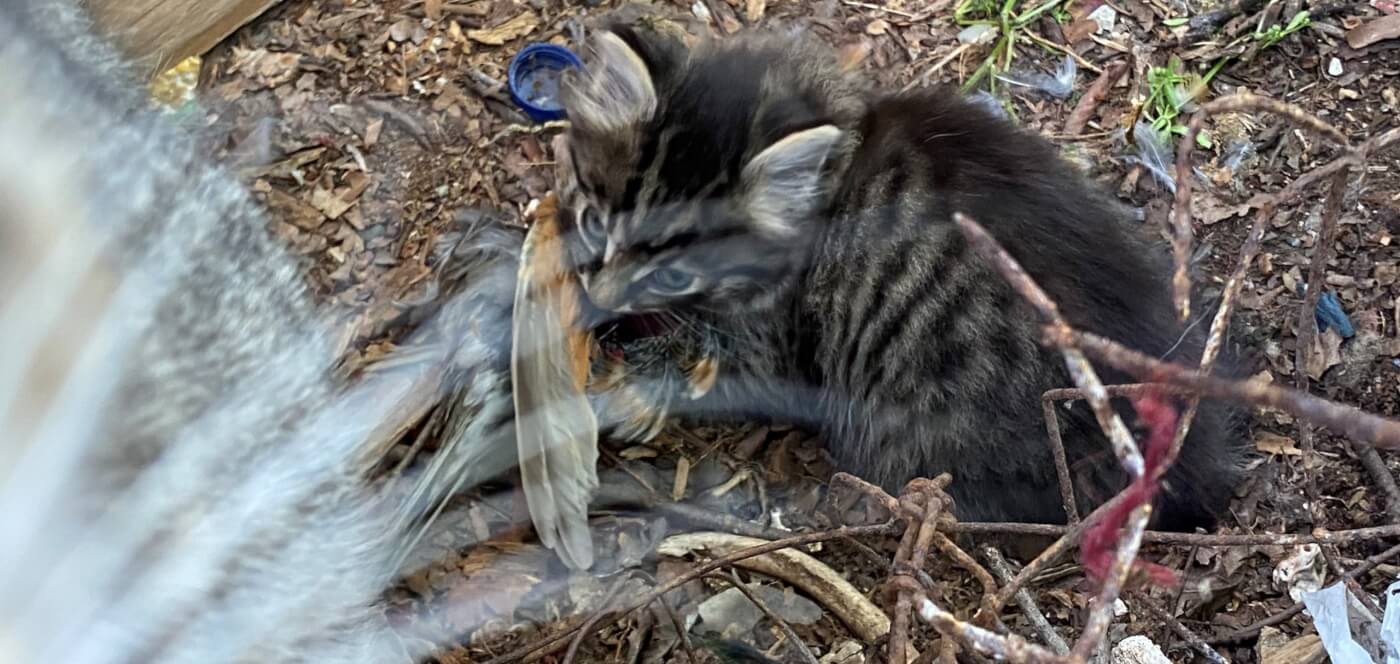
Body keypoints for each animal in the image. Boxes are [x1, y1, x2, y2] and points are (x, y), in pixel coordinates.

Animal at [554, 24, 1248, 529]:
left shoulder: (779, 340)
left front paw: (641, 389)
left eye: (674, 276)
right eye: (593, 224)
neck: (836, 161)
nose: (600, 299)